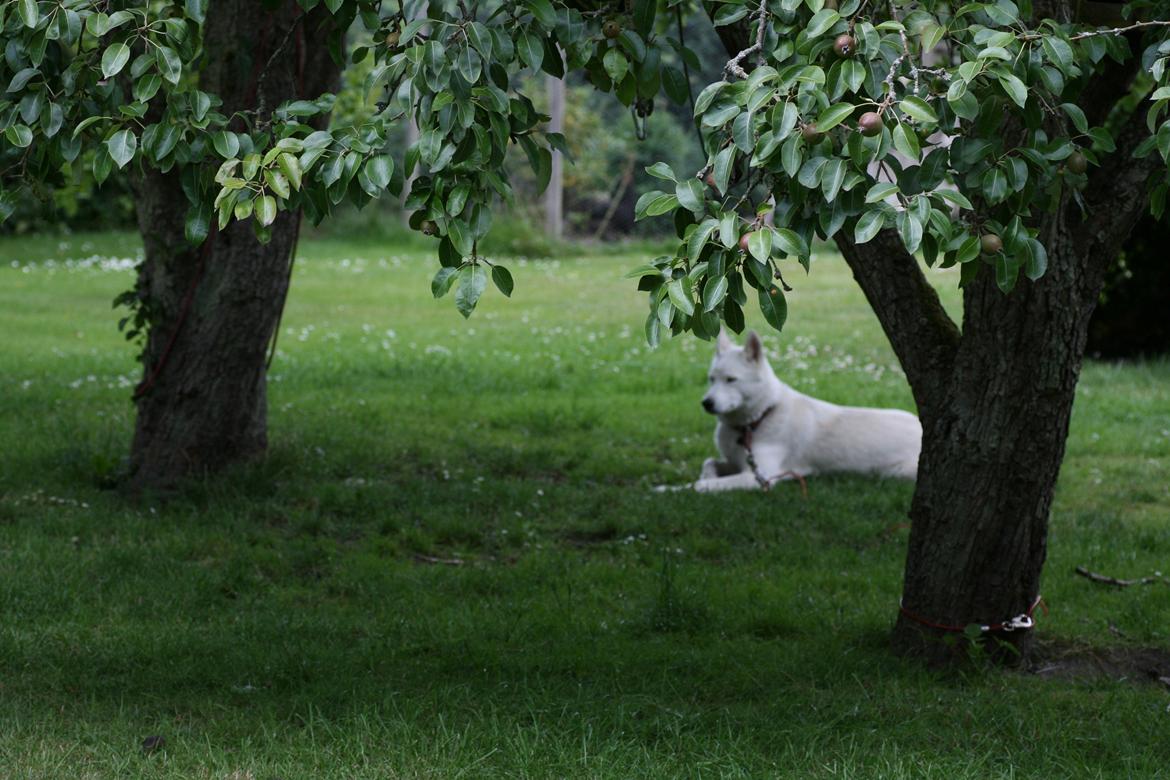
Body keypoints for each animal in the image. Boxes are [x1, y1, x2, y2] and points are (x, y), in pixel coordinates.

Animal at [683, 332, 921, 493]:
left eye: (731, 379)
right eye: (711, 379)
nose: (706, 403)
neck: (759, 418)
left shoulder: (761, 477)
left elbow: (699, 486)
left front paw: (681, 488)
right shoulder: (735, 463)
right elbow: (708, 463)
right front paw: (707, 473)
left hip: (897, 471)